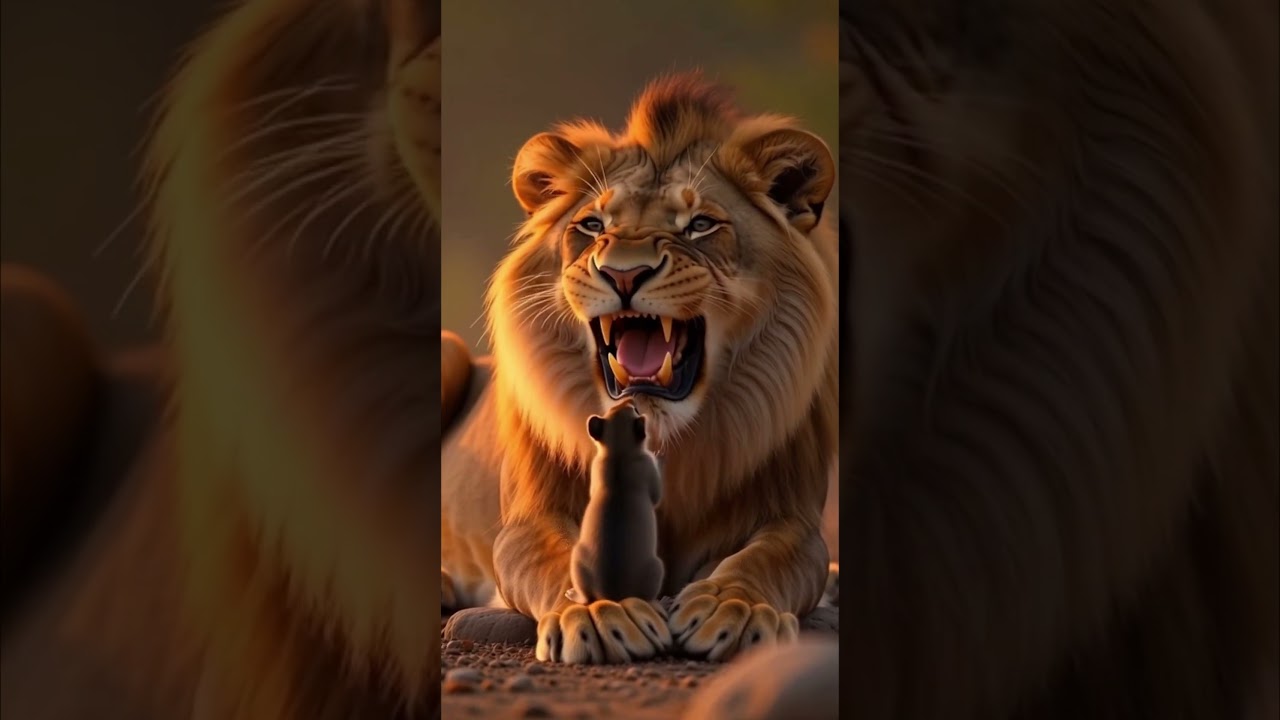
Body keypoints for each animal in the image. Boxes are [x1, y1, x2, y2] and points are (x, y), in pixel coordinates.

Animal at [440, 72, 839, 665]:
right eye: (591, 224)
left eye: (701, 225)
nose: (624, 273)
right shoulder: (526, 521)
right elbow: (557, 554)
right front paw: (602, 611)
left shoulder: (794, 522)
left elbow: (766, 559)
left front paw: (733, 609)